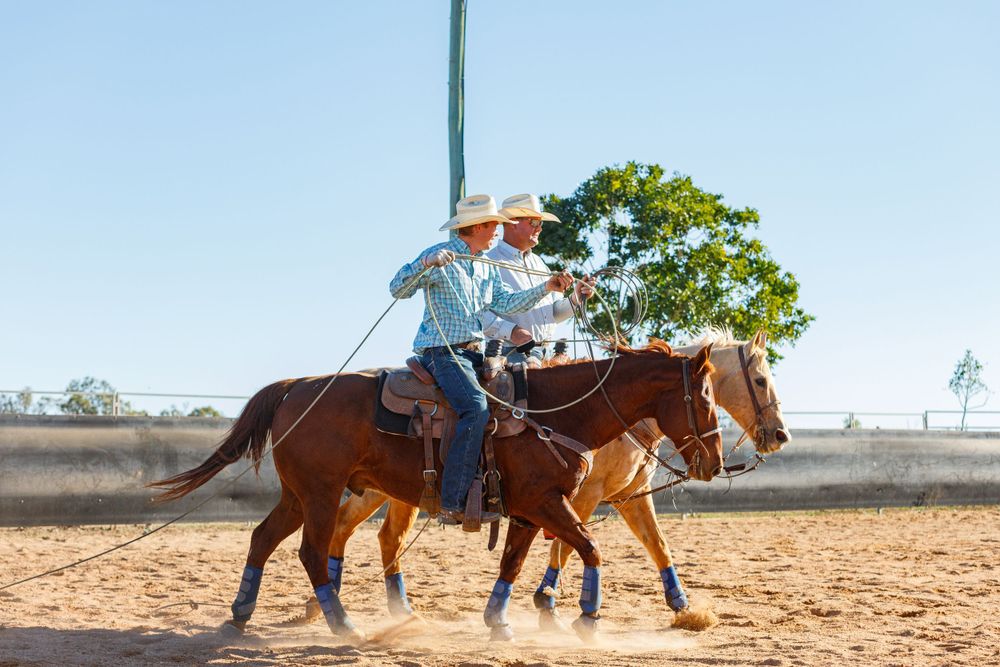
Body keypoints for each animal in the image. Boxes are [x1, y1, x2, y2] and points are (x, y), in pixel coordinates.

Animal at [151, 340, 724, 642]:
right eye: (703, 397)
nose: (715, 462)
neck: (552, 412)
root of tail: (298, 386)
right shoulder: (547, 504)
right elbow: (591, 547)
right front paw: (586, 616)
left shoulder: (528, 510)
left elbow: (513, 562)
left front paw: (499, 622)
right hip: (320, 493)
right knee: (312, 551)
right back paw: (343, 623)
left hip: (299, 495)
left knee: (263, 539)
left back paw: (242, 612)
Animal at [311, 328, 788, 628]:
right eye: (760, 379)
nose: (780, 435)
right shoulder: (576, 497)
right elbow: (568, 546)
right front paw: (550, 601)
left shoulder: (630, 495)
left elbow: (657, 545)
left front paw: (684, 607)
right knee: (351, 529)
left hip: (389, 491)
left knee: (373, 535)